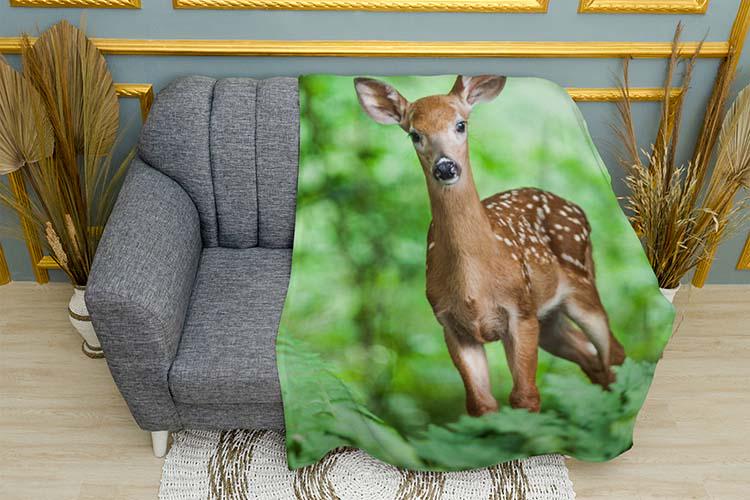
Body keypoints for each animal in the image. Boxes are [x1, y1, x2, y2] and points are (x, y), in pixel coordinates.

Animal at [354, 75, 626, 416]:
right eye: (414, 134)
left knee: (613, 351)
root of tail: (577, 208)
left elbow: (525, 397)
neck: (474, 284)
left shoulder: (520, 312)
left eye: (461, 124)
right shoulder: (451, 325)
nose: (445, 167)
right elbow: (481, 403)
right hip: (549, 319)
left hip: (580, 287)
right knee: (593, 359)